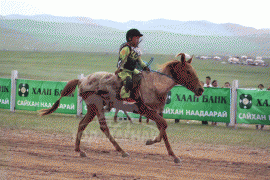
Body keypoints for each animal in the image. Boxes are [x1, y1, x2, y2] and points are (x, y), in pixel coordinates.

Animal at [39, 52, 204, 163]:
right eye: (188, 71)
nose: (201, 90)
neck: (156, 85)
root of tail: (82, 80)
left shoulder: (156, 111)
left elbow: (162, 128)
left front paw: (174, 155)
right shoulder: (144, 109)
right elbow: (163, 125)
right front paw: (150, 142)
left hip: (92, 108)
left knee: (82, 124)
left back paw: (79, 150)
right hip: (97, 106)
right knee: (103, 127)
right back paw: (122, 151)